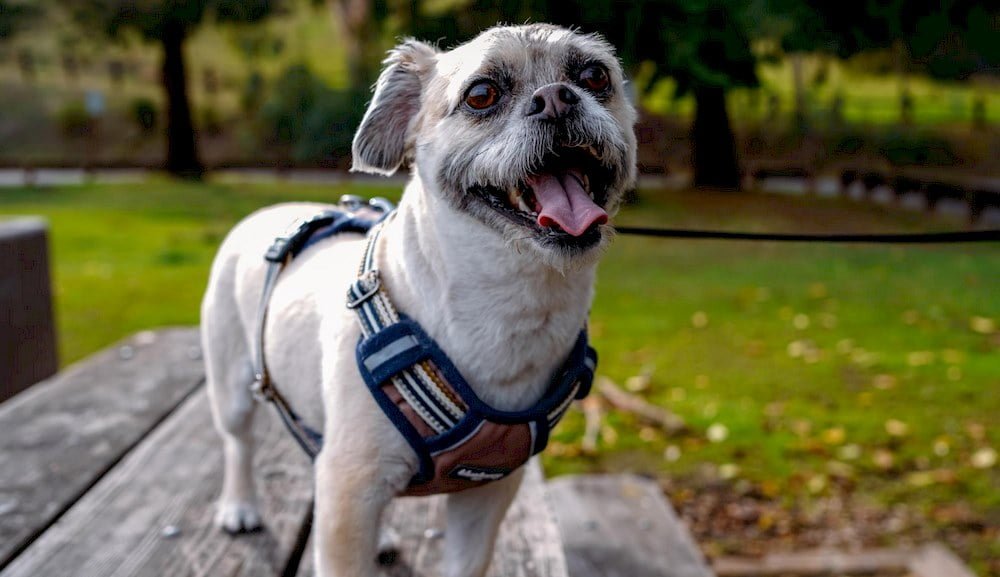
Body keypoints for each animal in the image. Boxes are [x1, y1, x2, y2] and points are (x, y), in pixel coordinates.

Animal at [202, 23, 636, 576]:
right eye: (481, 94)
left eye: (595, 77)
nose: (557, 97)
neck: (512, 300)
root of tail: (268, 213)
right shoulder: (348, 490)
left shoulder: (484, 495)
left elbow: (465, 564)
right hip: (233, 388)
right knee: (238, 444)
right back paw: (239, 506)